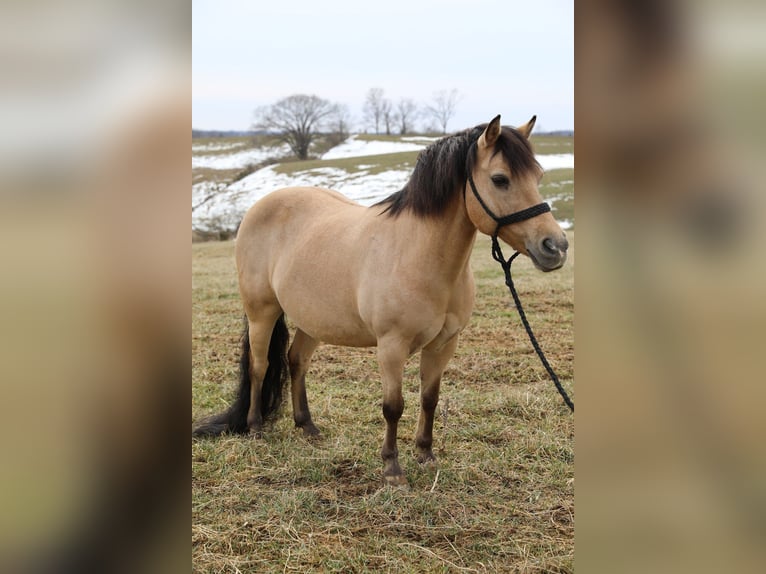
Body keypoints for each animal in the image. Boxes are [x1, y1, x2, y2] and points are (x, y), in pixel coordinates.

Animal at [193, 115, 569, 486]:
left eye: (538, 177)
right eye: (500, 179)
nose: (556, 246)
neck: (418, 253)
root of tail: (258, 208)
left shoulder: (444, 344)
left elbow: (429, 399)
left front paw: (426, 455)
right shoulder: (391, 346)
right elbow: (393, 406)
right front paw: (392, 468)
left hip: (312, 320)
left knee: (296, 361)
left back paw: (308, 427)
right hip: (262, 313)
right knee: (260, 366)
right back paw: (256, 428)